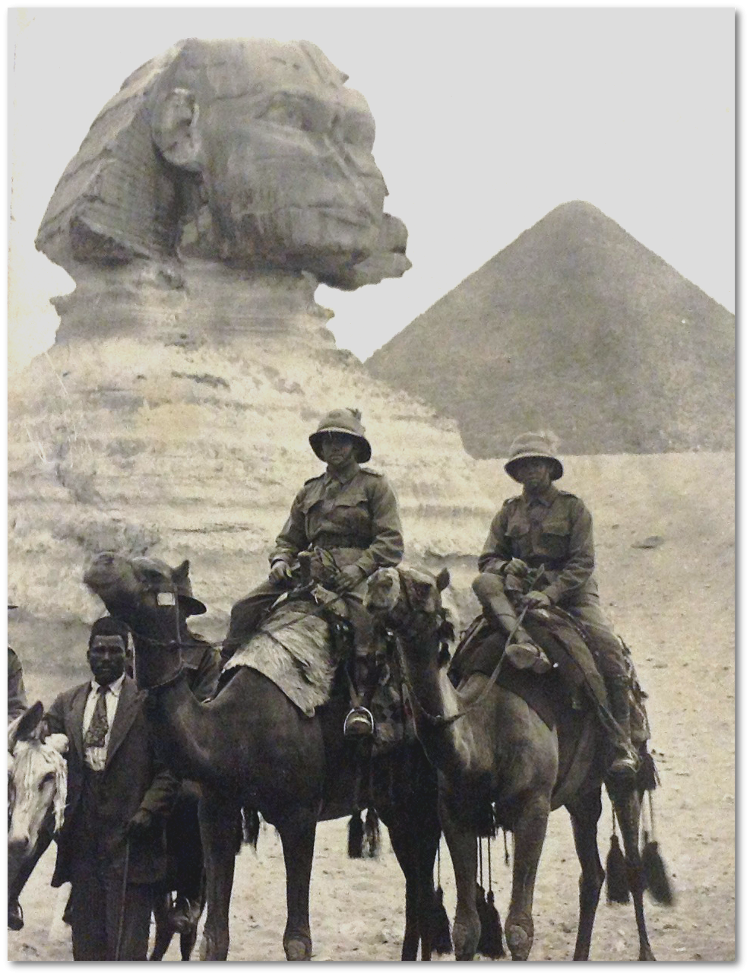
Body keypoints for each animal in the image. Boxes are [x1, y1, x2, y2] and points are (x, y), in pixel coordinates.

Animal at [85, 548, 444, 960]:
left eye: (152, 573)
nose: (101, 560)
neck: (234, 730)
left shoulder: (300, 815)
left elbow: (298, 939)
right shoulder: (216, 812)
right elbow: (214, 935)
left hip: (421, 802)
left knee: (422, 886)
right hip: (393, 804)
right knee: (416, 889)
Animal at [368, 564, 668, 960]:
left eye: (423, 585)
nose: (378, 583)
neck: (486, 731)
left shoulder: (532, 808)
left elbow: (519, 929)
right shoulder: (455, 812)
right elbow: (466, 928)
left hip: (623, 767)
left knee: (633, 863)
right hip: (580, 791)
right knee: (592, 873)